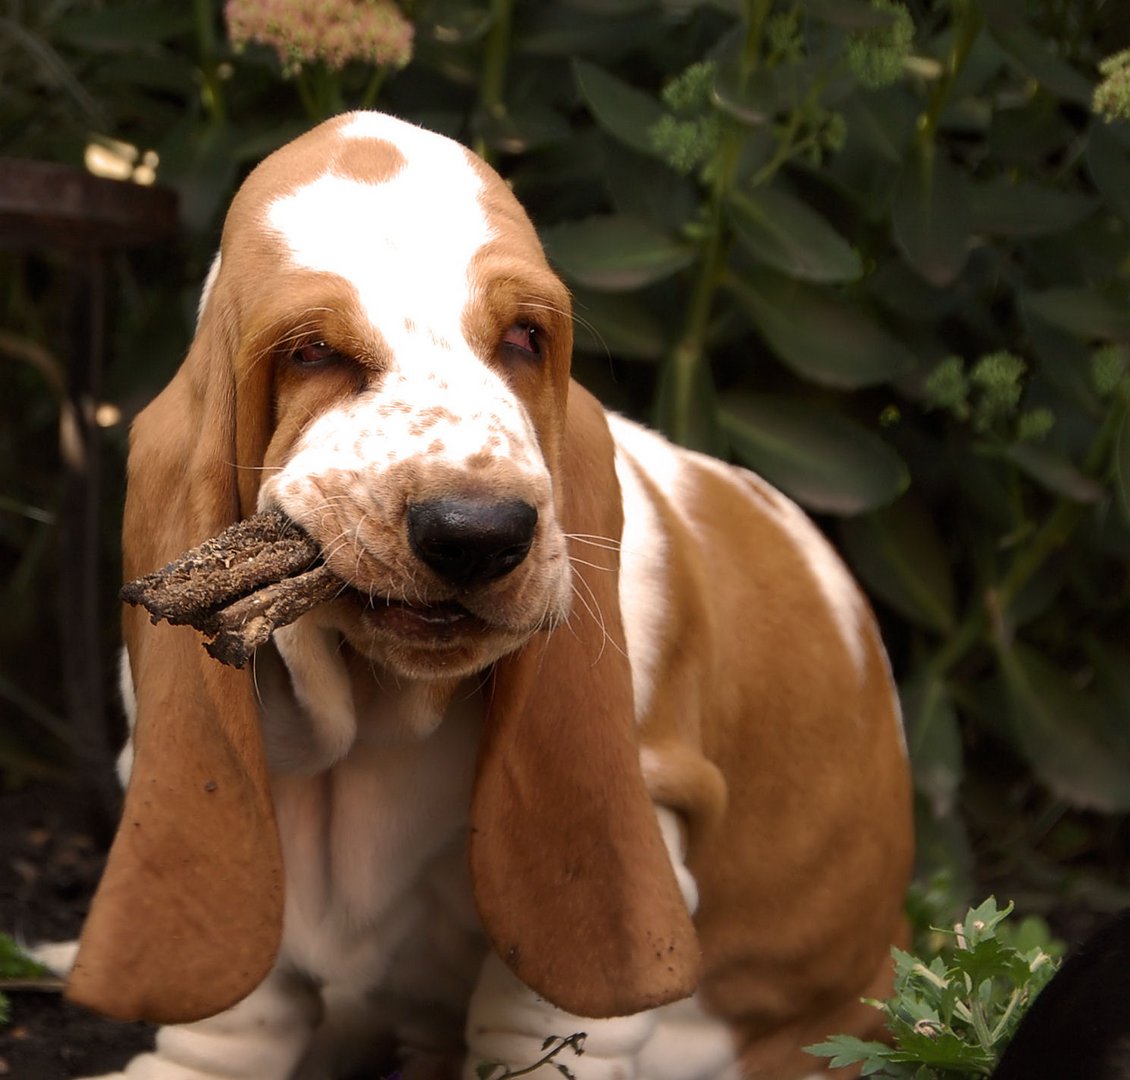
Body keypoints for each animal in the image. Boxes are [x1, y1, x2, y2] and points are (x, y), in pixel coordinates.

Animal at [70, 114, 913, 1075]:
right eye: (312, 351)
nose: (479, 532)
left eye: (523, 339)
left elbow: (532, 1022)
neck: (378, 721)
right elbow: (235, 1013)